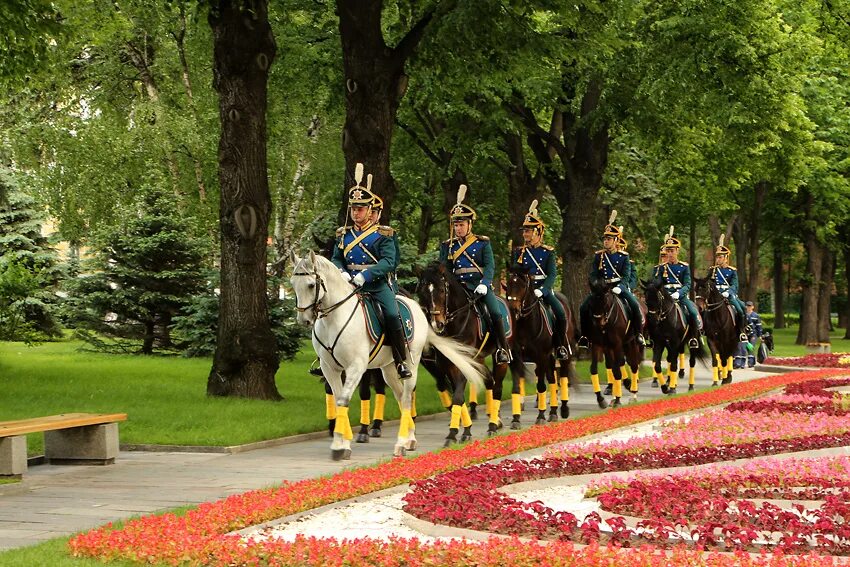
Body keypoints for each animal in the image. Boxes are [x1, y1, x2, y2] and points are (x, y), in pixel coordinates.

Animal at [290, 253, 484, 462]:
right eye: (292, 283)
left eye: (311, 285)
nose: (304, 320)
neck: (333, 319)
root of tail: (419, 310)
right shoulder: (329, 368)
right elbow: (337, 400)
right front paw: (342, 443)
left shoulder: (356, 366)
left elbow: (343, 400)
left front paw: (340, 445)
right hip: (389, 368)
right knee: (400, 395)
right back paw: (409, 438)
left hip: (412, 363)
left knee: (407, 397)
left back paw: (400, 444)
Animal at [414, 262, 520, 444]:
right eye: (422, 292)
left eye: (441, 290)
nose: (436, 324)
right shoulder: (450, 363)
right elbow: (457, 394)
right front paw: (464, 430)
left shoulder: (464, 360)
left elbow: (457, 396)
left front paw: (454, 433)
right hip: (479, 359)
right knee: (489, 381)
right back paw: (496, 420)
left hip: (501, 356)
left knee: (497, 387)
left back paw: (493, 426)